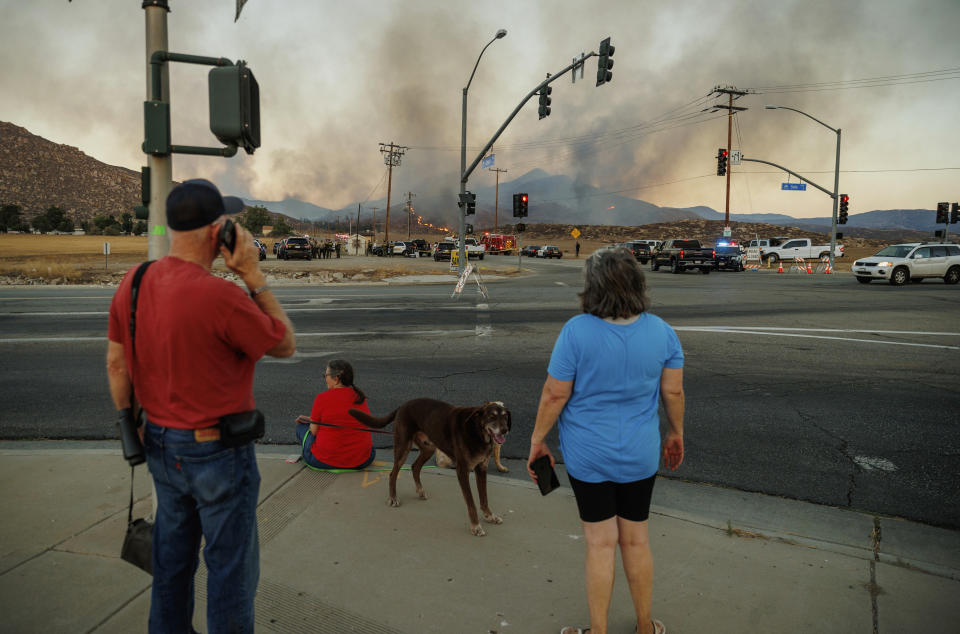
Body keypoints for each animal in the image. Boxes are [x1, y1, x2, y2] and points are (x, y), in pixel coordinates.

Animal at [350, 398, 510, 536]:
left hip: (429, 448)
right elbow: (471, 503)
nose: (504, 430)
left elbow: (484, 498)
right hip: (403, 447)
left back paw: (420, 491)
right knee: (393, 473)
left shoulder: (481, 469)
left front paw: (490, 516)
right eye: (491, 416)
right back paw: (393, 498)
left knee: (415, 467)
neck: (476, 431)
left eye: (505, 417)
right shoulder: (462, 471)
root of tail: (403, 405)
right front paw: (476, 526)